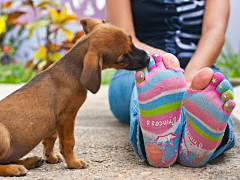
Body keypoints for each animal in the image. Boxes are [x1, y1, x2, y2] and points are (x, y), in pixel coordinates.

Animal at [0, 17, 150, 176]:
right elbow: (68, 143)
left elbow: (50, 139)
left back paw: (30, 161)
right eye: (123, 58)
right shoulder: (67, 117)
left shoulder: (55, 120)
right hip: (4, 135)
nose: (148, 58)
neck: (73, 69)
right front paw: (73, 163)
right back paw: (15, 168)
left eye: (131, 39)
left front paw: (50, 157)